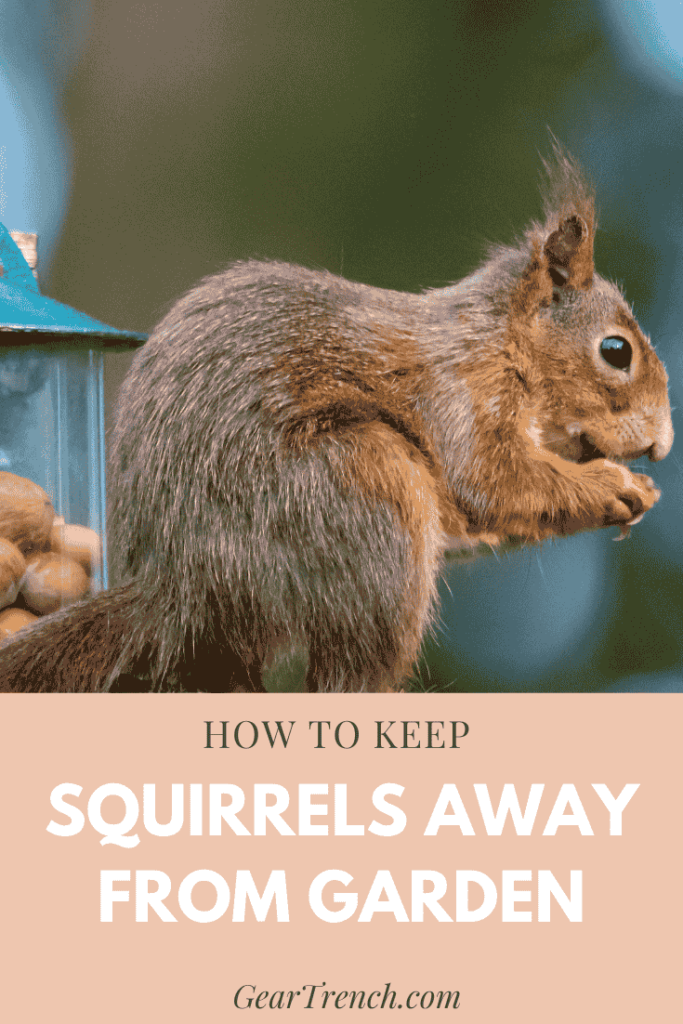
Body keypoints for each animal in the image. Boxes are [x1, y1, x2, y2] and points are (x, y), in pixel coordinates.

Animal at [0, 144, 673, 693]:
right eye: (617, 350)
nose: (663, 443)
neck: (496, 339)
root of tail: (183, 586)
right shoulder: (460, 395)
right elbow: (492, 480)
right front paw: (614, 485)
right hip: (358, 488)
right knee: (346, 676)